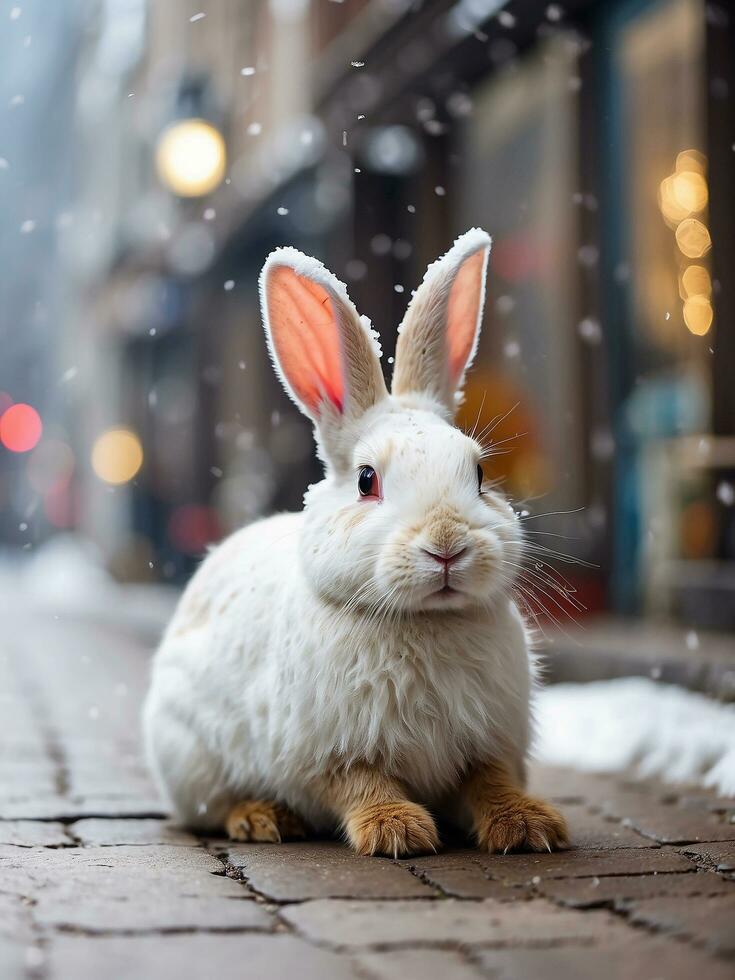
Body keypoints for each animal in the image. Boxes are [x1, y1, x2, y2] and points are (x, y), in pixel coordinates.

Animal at [144, 230, 568, 856]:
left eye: (480, 474)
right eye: (367, 480)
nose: (447, 544)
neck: (423, 622)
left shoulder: (489, 743)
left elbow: (489, 782)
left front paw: (529, 827)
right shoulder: (326, 752)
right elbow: (360, 784)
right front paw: (398, 831)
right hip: (189, 756)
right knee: (211, 808)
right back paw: (261, 819)